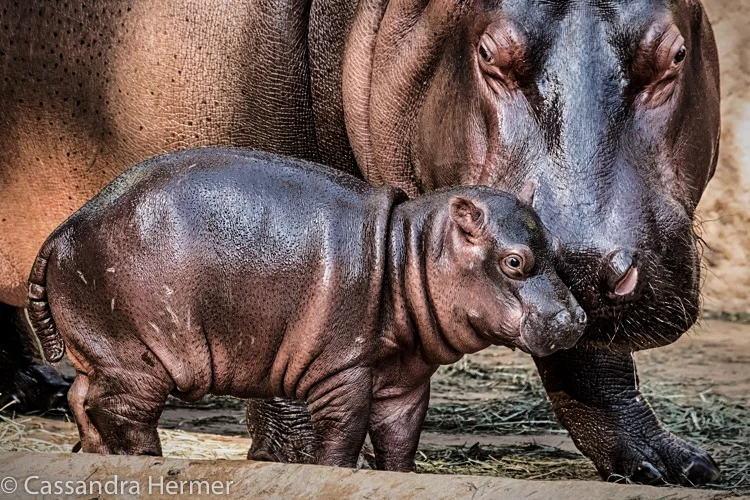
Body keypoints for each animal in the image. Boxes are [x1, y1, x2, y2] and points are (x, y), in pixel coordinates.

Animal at [26, 148, 585, 469]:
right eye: (514, 261)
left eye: (554, 248)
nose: (577, 318)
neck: (411, 253)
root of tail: (63, 229)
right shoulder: (342, 371)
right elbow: (342, 435)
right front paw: (337, 470)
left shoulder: (405, 379)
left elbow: (401, 440)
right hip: (137, 360)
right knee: (119, 413)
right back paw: (147, 463)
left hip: (100, 354)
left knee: (80, 400)